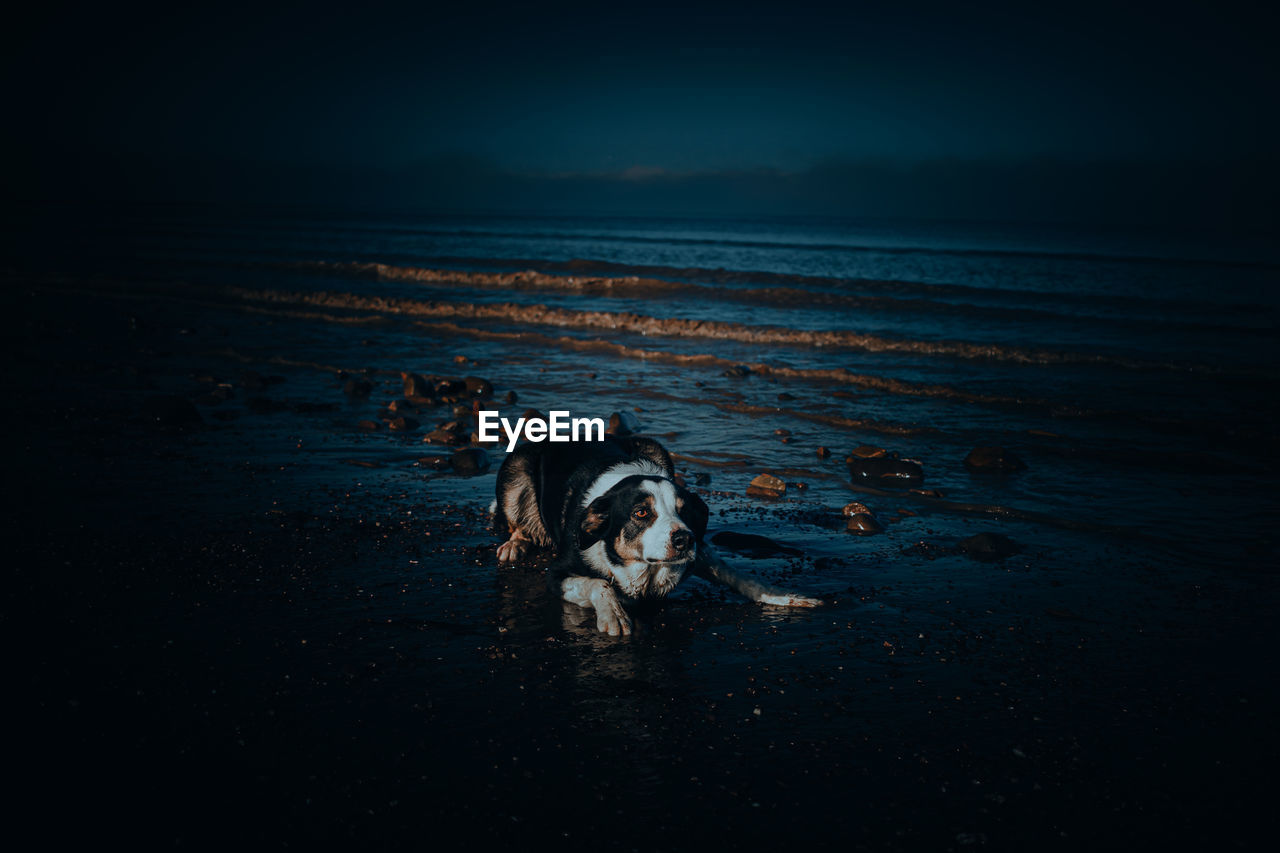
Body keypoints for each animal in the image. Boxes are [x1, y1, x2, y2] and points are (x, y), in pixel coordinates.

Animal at [488, 435, 819, 635]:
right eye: (641, 513)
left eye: (686, 512)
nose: (684, 540)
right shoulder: (558, 572)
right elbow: (598, 584)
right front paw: (614, 615)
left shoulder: (700, 553)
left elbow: (740, 576)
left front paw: (785, 596)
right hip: (516, 465)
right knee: (516, 521)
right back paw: (515, 544)